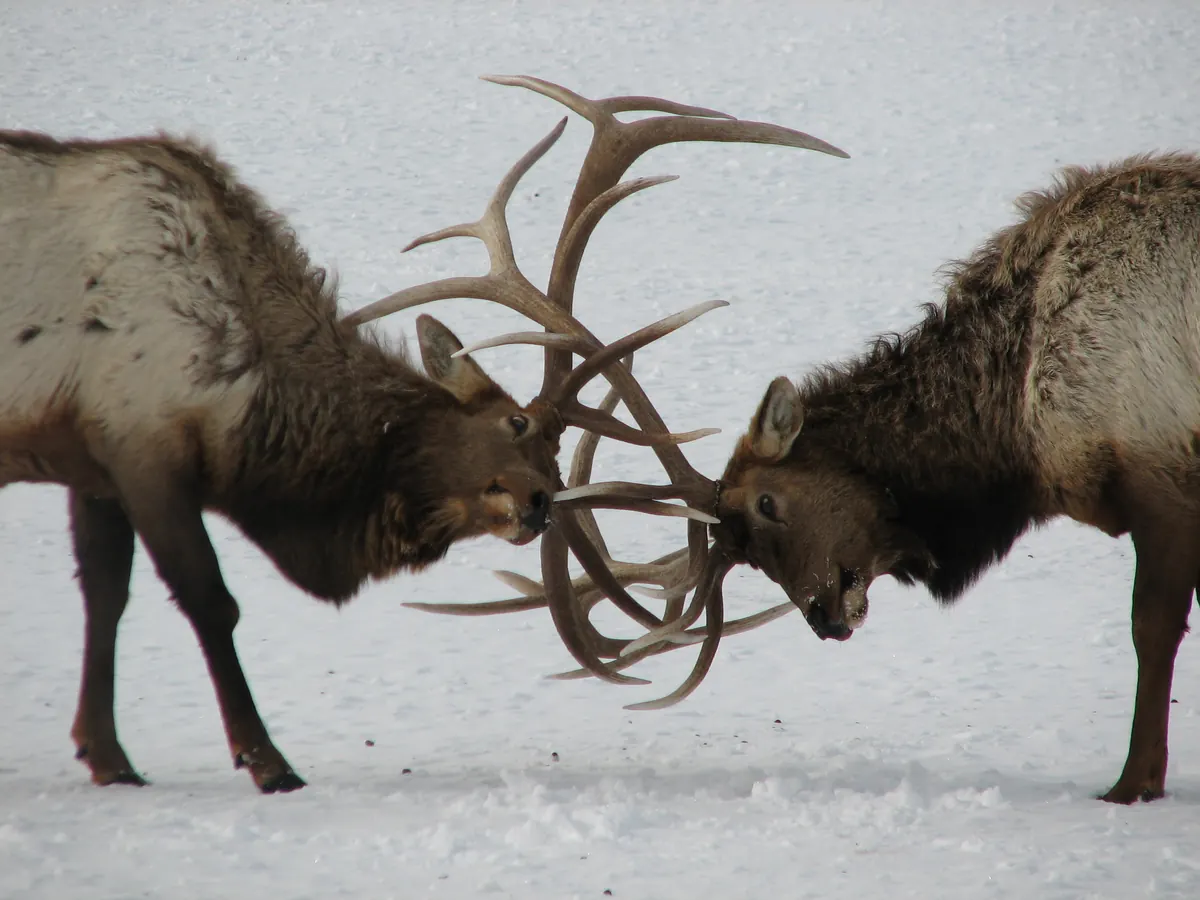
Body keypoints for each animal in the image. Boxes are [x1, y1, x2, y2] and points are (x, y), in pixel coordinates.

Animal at [0, 74, 848, 792]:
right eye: (515, 420)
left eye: (551, 454)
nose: (541, 503)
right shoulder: (140, 438)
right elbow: (209, 600)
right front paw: (267, 762)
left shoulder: (94, 456)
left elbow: (103, 594)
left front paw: (107, 755)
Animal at [420, 150, 1200, 805]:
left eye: (769, 502)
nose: (824, 617)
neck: (1017, 421)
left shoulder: (1161, 473)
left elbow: (1151, 630)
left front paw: (1132, 785)